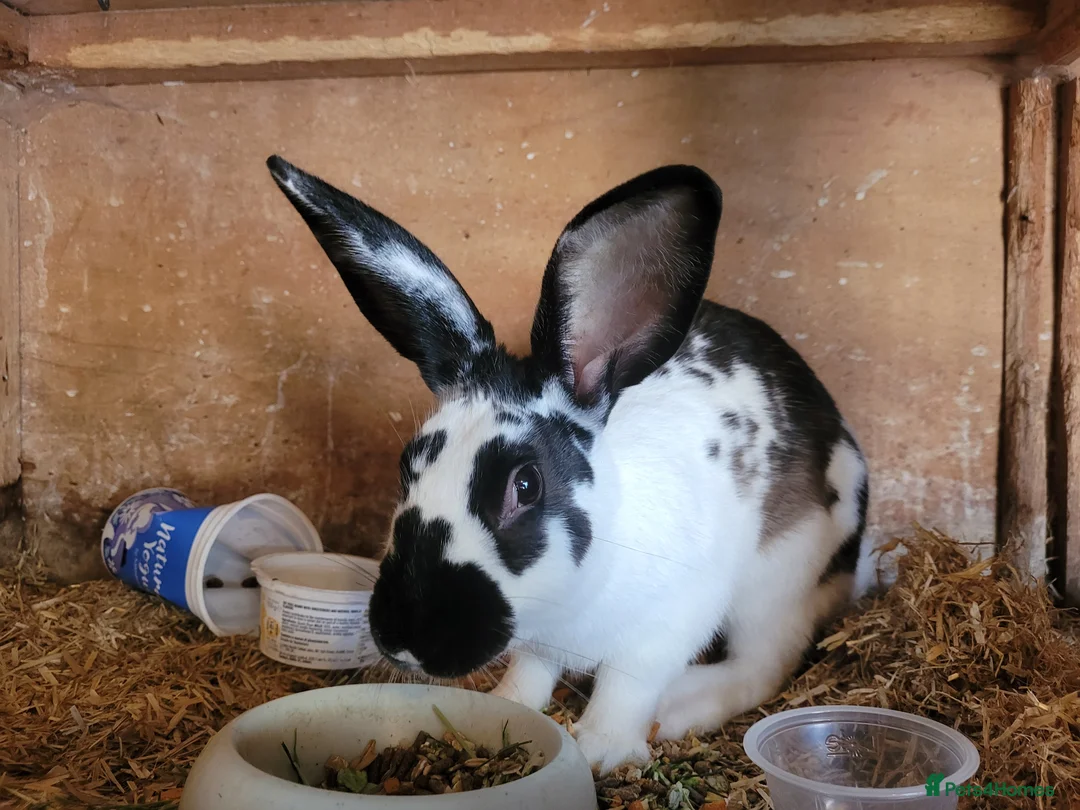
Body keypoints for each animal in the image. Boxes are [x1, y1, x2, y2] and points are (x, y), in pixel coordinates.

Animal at [267, 155, 870, 775]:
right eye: (407, 466)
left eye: (526, 485)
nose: (404, 638)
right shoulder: (539, 645)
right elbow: (531, 674)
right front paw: (508, 709)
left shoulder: (664, 626)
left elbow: (626, 688)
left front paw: (603, 751)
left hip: (775, 586)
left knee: (763, 666)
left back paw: (682, 706)